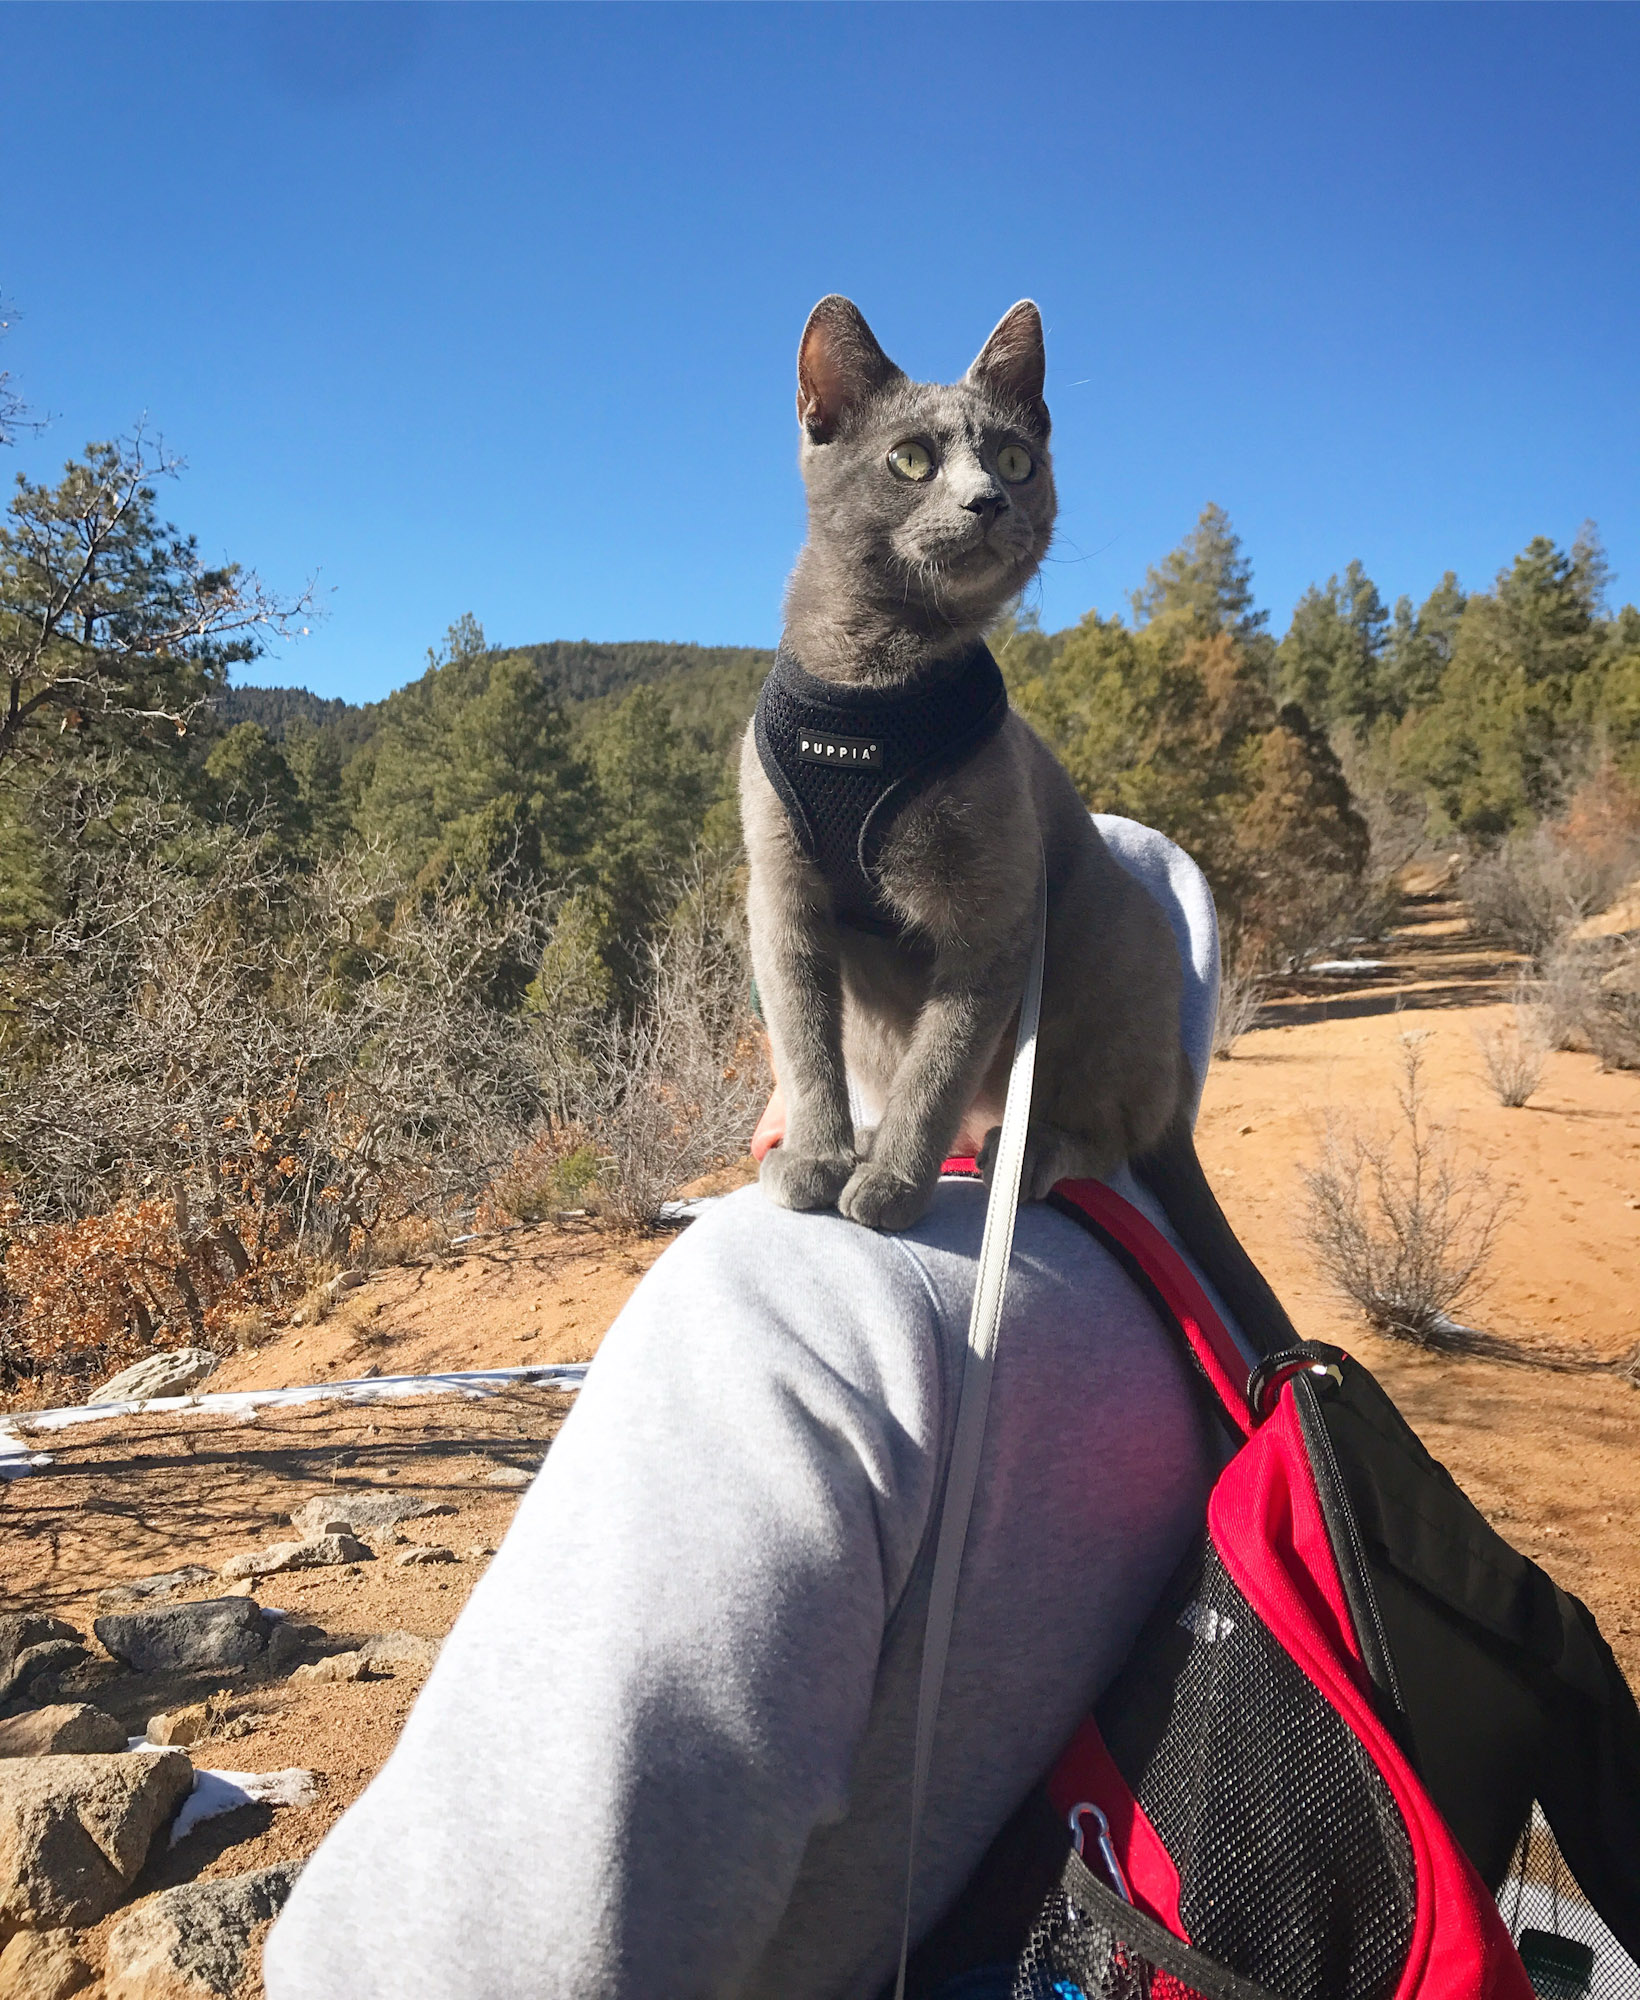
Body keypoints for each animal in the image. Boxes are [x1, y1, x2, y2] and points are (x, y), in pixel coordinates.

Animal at [744, 296, 1192, 1232]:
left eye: (1017, 461)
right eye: (911, 460)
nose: (987, 500)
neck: (872, 689)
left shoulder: (995, 916)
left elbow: (939, 1065)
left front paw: (893, 1186)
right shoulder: (782, 895)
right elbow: (805, 1047)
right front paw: (819, 1157)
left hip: (1108, 941)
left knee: (1113, 1127)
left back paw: (1023, 1155)